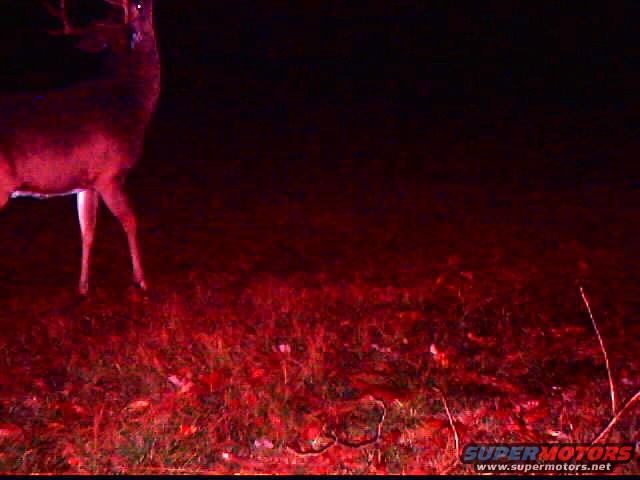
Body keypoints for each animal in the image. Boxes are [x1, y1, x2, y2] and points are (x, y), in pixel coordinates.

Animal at [0, 0, 160, 295]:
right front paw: (142, 280)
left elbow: (87, 230)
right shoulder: (110, 174)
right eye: (138, 7)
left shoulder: (86, 182)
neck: (133, 103)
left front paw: (83, 287)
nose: (141, 3)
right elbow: (130, 221)